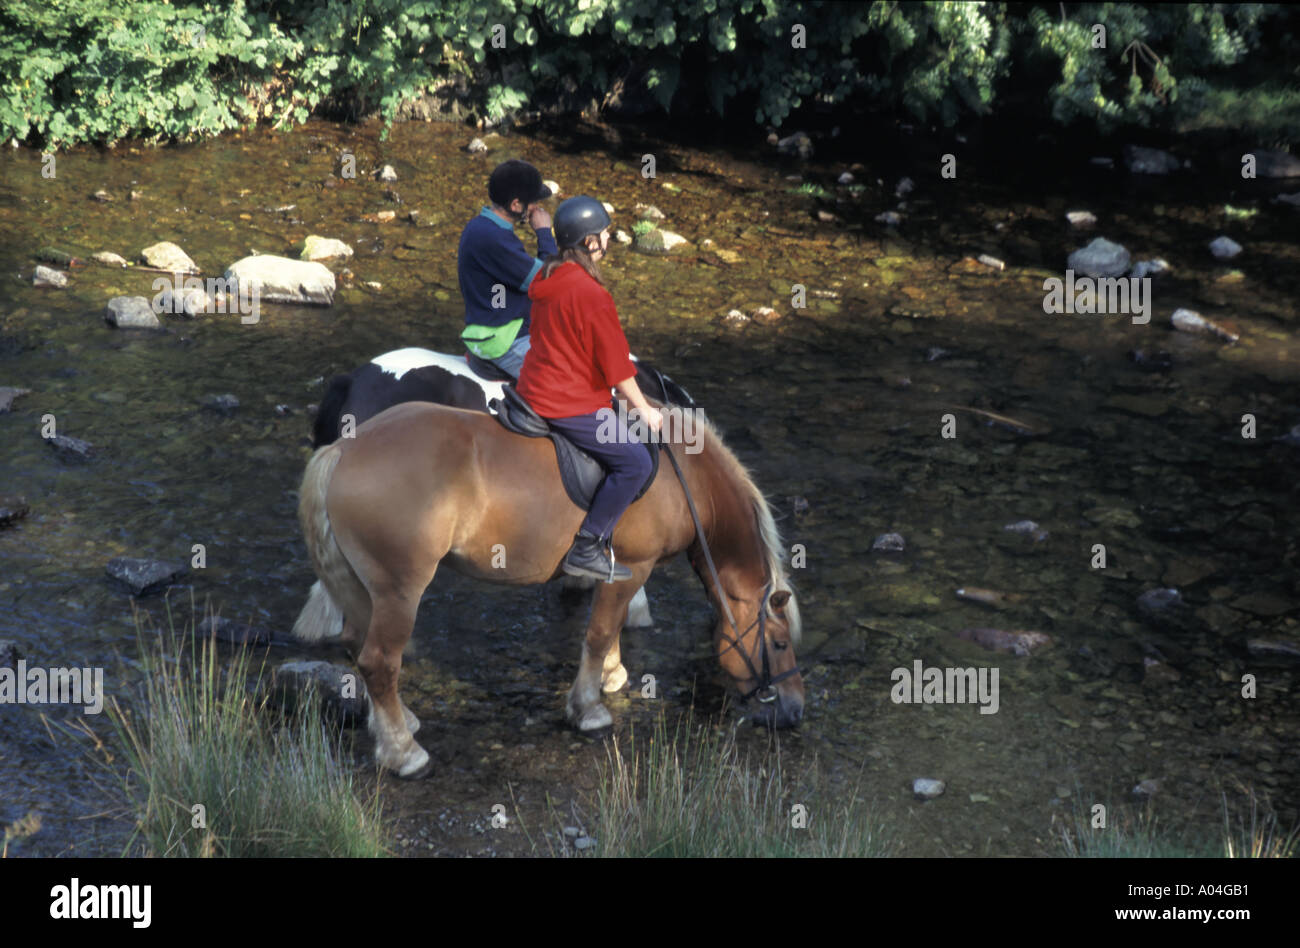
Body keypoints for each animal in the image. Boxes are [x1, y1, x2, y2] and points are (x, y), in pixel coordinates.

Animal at [292, 399, 805, 777]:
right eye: (780, 644)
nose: (796, 710)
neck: (686, 478)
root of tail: (344, 451)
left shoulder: (614, 572)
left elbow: (609, 628)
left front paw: (611, 674)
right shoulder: (635, 566)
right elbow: (599, 633)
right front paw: (588, 707)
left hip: (368, 591)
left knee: (361, 647)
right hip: (400, 592)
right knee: (379, 662)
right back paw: (403, 752)